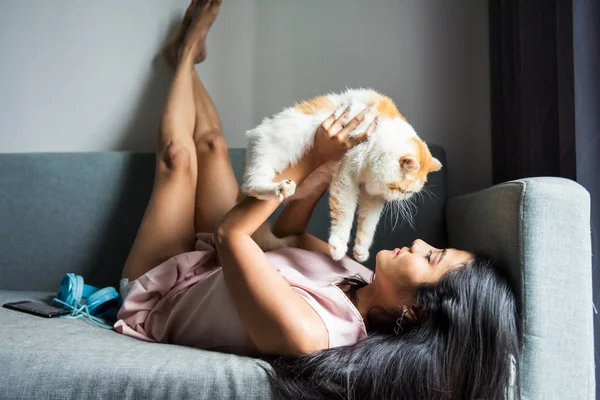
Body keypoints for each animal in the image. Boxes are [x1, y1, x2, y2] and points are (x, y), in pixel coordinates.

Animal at [241, 88, 442, 262]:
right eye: (402, 190)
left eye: (408, 193)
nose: (399, 199)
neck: (378, 137)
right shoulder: (346, 175)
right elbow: (345, 213)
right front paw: (338, 247)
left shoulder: (373, 195)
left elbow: (368, 224)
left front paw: (361, 251)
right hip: (266, 153)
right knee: (251, 185)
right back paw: (279, 188)